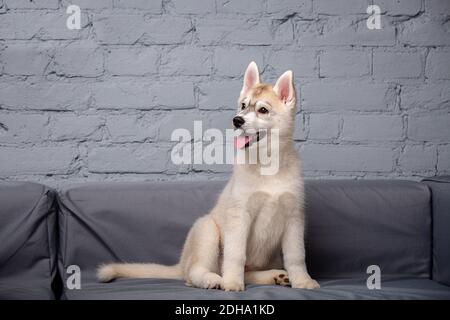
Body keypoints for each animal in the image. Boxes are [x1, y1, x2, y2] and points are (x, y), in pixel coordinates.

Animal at [96, 62, 318, 290]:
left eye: (263, 110)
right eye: (243, 105)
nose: (237, 120)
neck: (267, 165)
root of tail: (182, 263)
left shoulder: (294, 218)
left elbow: (296, 257)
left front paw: (303, 281)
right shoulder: (239, 216)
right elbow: (235, 255)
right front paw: (232, 283)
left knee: (246, 272)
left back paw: (276, 276)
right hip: (207, 230)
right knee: (195, 273)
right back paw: (213, 279)